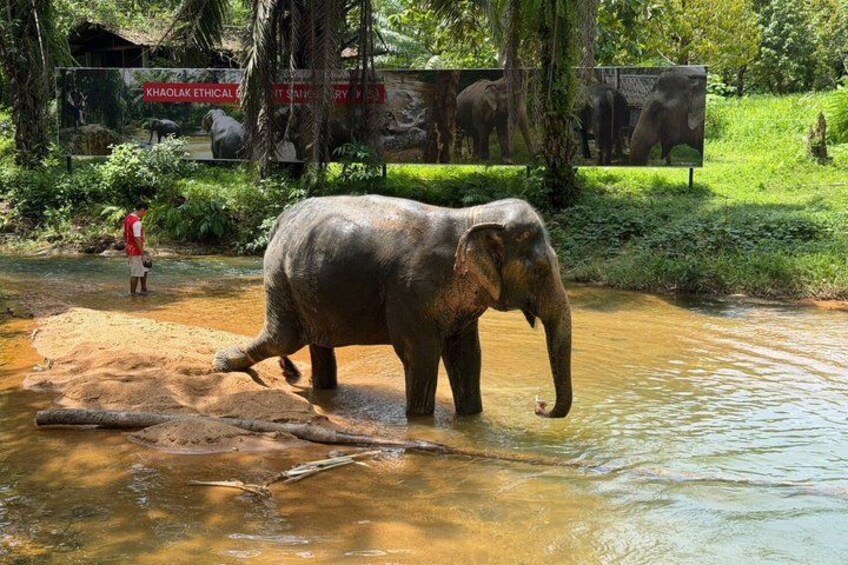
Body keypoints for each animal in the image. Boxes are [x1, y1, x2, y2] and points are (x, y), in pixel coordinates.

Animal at [213, 196, 573, 419]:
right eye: (540, 270)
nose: (539, 405)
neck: (471, 216)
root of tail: (281, 218)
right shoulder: (411, 291)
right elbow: (421, 355)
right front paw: (420, 419)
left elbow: (467, 355)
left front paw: (471, 419)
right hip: (280, 277)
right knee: (284, 339)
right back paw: (222, 362)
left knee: (314, 344)